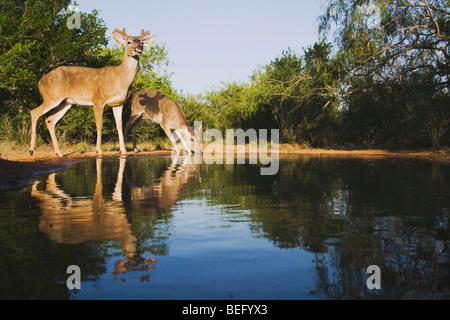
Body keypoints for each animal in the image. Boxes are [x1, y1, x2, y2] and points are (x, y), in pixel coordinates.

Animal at [29, 27, 156, 158]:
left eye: (142, 42)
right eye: (129, 42)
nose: (139, 48)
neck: (120, 78)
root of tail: (40, 81)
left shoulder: (118, 103)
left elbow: (119, 124)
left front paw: (124, 151)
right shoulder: (98, 99)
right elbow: (99, 123)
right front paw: (99, 151)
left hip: (66, 102)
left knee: (50, 120)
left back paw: (59, 153)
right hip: (52, 96)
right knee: (34, 112)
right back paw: (31, 150)